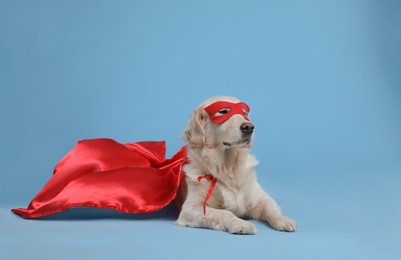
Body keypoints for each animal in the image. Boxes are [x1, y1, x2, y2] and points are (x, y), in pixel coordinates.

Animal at [176, 96, 296, 235]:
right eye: (223, 111)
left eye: (244, 113)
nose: (248, 127)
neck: (228, 167)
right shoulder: (190, 208)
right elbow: (224, 213)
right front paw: (241, 224)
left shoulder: (260, 197)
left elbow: (270, 208)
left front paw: (283, 220)